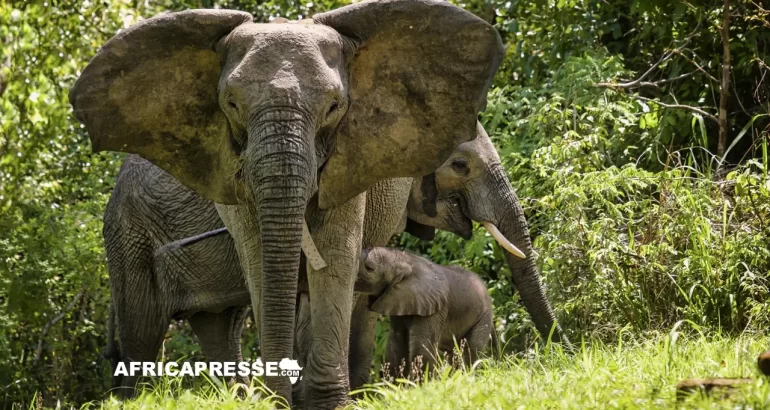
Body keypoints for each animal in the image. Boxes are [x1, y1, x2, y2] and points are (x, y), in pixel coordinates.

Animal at [357, 246, 497, 379]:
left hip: (484, 316)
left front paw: (420, 386)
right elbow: (397, 343)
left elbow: (422, 347)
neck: (406, 260)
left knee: (471, 350)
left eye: (369, 268)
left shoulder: (436, 307)